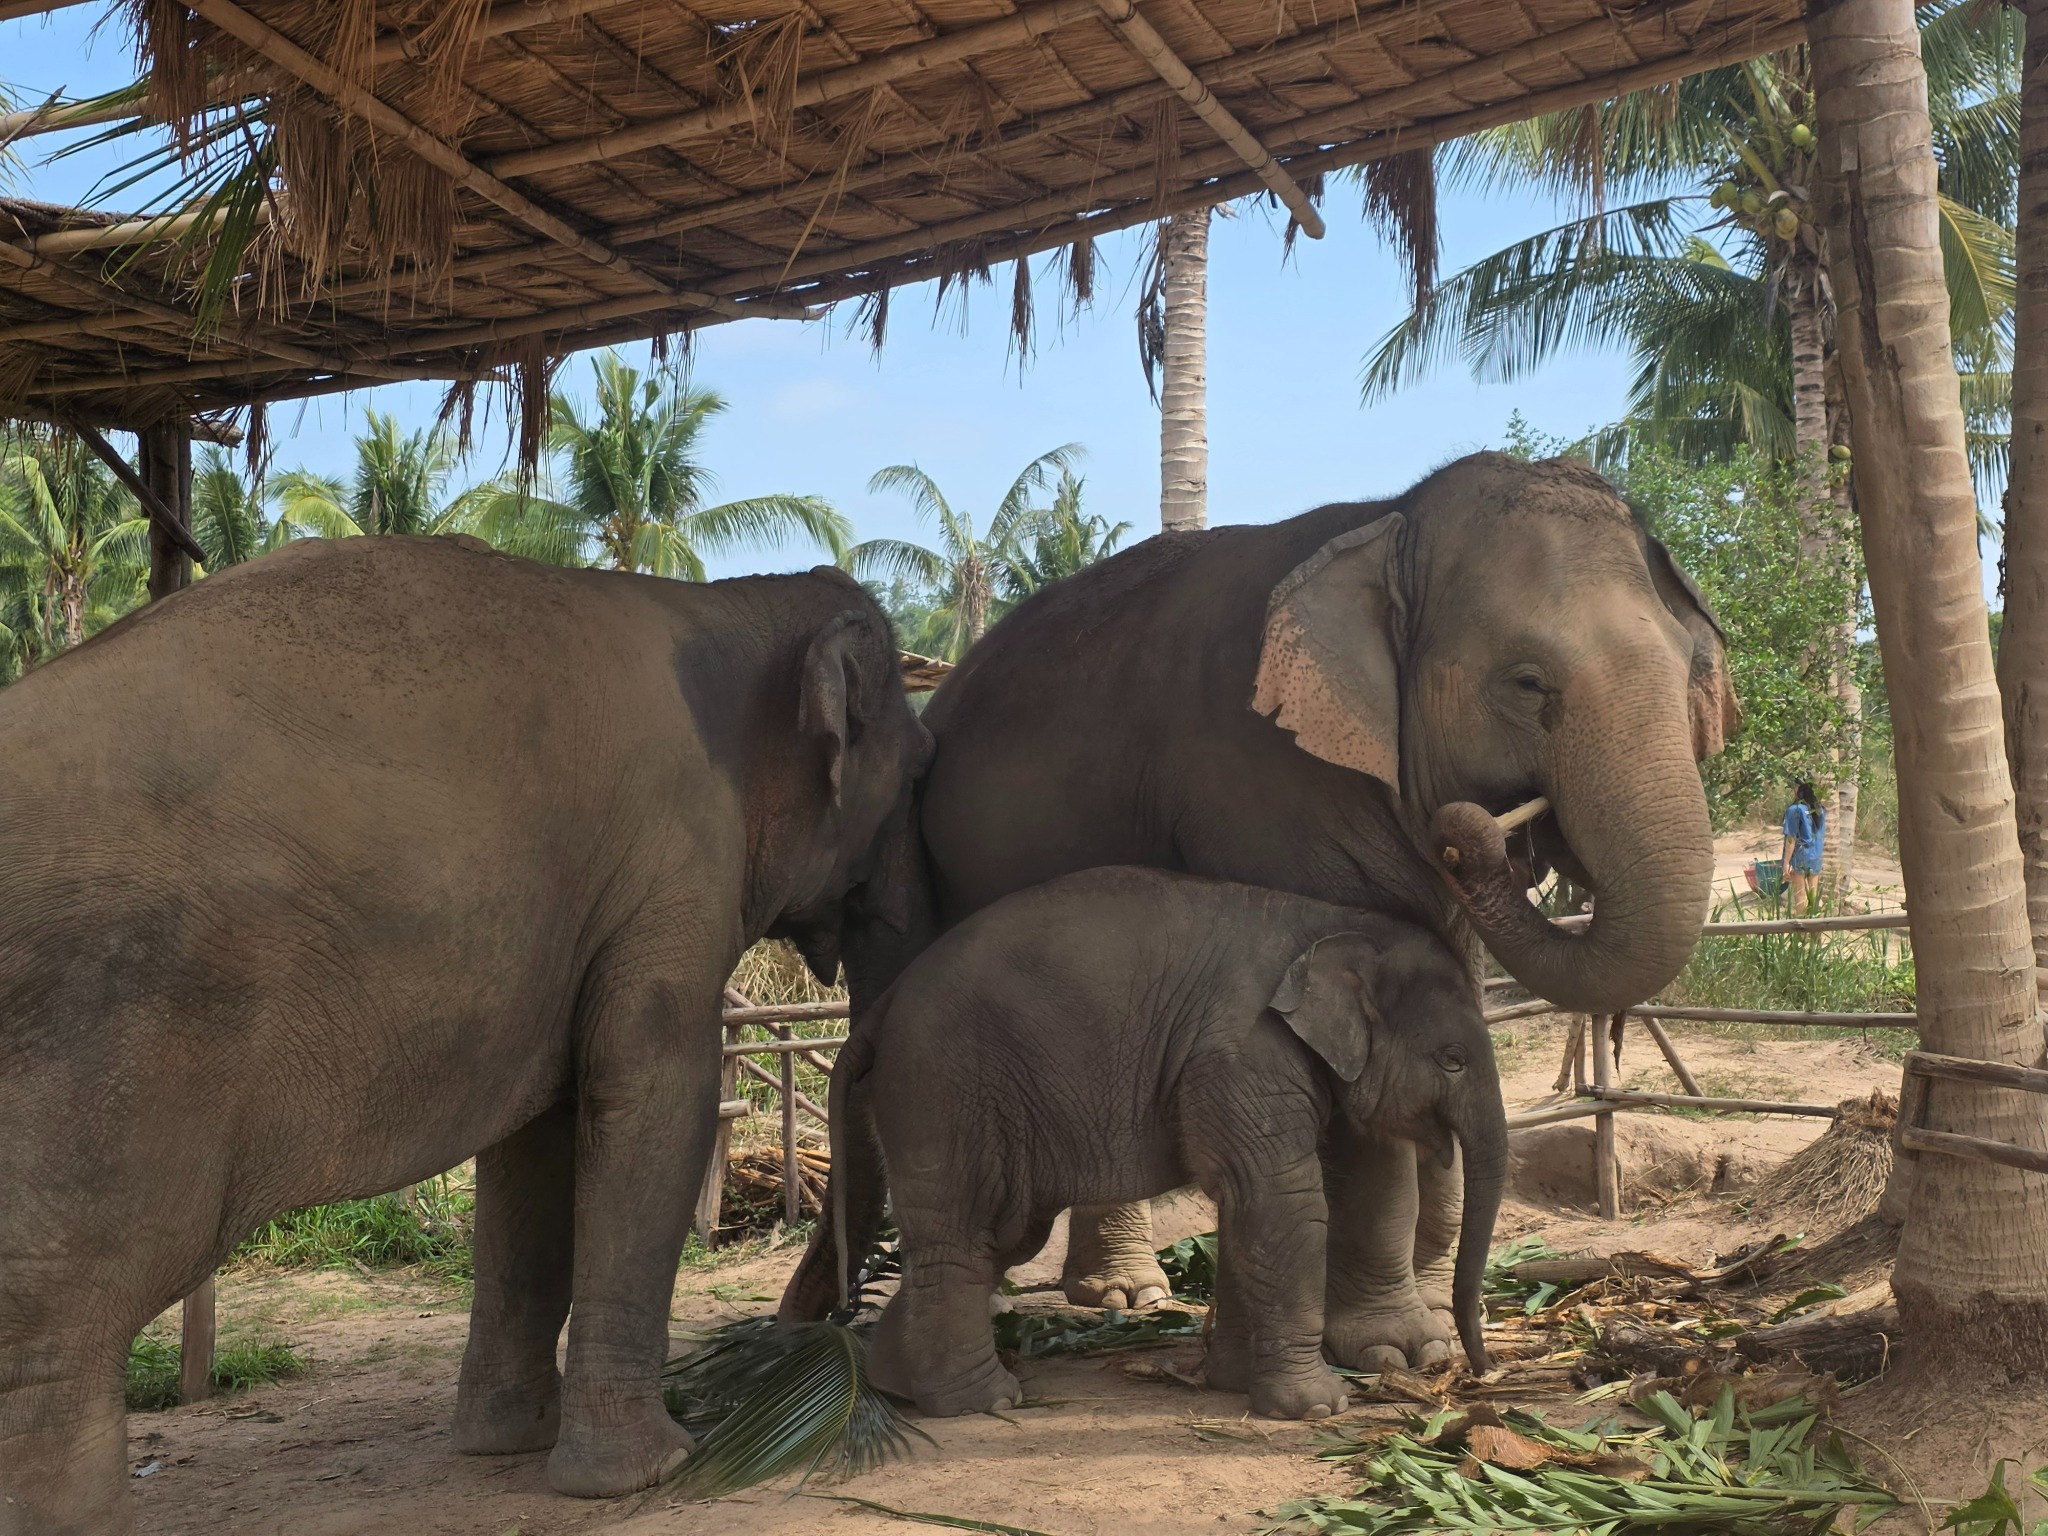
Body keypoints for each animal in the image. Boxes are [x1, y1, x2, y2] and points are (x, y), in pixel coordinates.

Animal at [0, 536, 929, 1535]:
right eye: (921, 772)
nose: (817, 1331)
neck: (725, 604)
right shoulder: (673, 868)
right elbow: (652, 1099)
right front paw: (649, 1471)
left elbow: (537, 1139)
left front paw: (505, 1444)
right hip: (97, 1043)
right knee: (72, 1304)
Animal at [786, 451, 1735, 1362]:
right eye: (1528, 683)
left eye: (1694, 671)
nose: (1473, 831)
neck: (1386, 523)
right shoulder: (1267, 785)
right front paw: (1394, 1350)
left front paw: (1422, 1328)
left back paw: (1127, 1298)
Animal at [831, 868, 1506, 1423]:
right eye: (1452, 1059)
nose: (1477, 1372)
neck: (1331, 923)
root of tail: (879, 1008)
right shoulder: (1241, 1052)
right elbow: (1281, 1201)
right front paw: (1318, 1407)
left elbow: (1245, 1206)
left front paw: (1234, 1382)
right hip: (943, 1092)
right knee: (965, 1235)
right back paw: (983, 1401)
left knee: (999, 1235)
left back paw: (898, 1386)